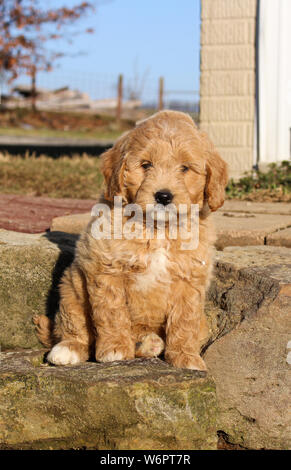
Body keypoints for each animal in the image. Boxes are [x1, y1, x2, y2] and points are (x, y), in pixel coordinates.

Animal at [34, 111, 229, 370]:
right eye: (146, 165)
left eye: (185, 168)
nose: (163, 196)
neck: (157, 230)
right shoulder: (107, 271)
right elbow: (112, 313)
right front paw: (115, 349)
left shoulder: (190, 281)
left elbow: (184, 321)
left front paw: (186, 357)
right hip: (71, 289)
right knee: (73, 326)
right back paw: (69, 349)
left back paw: (148, 344)